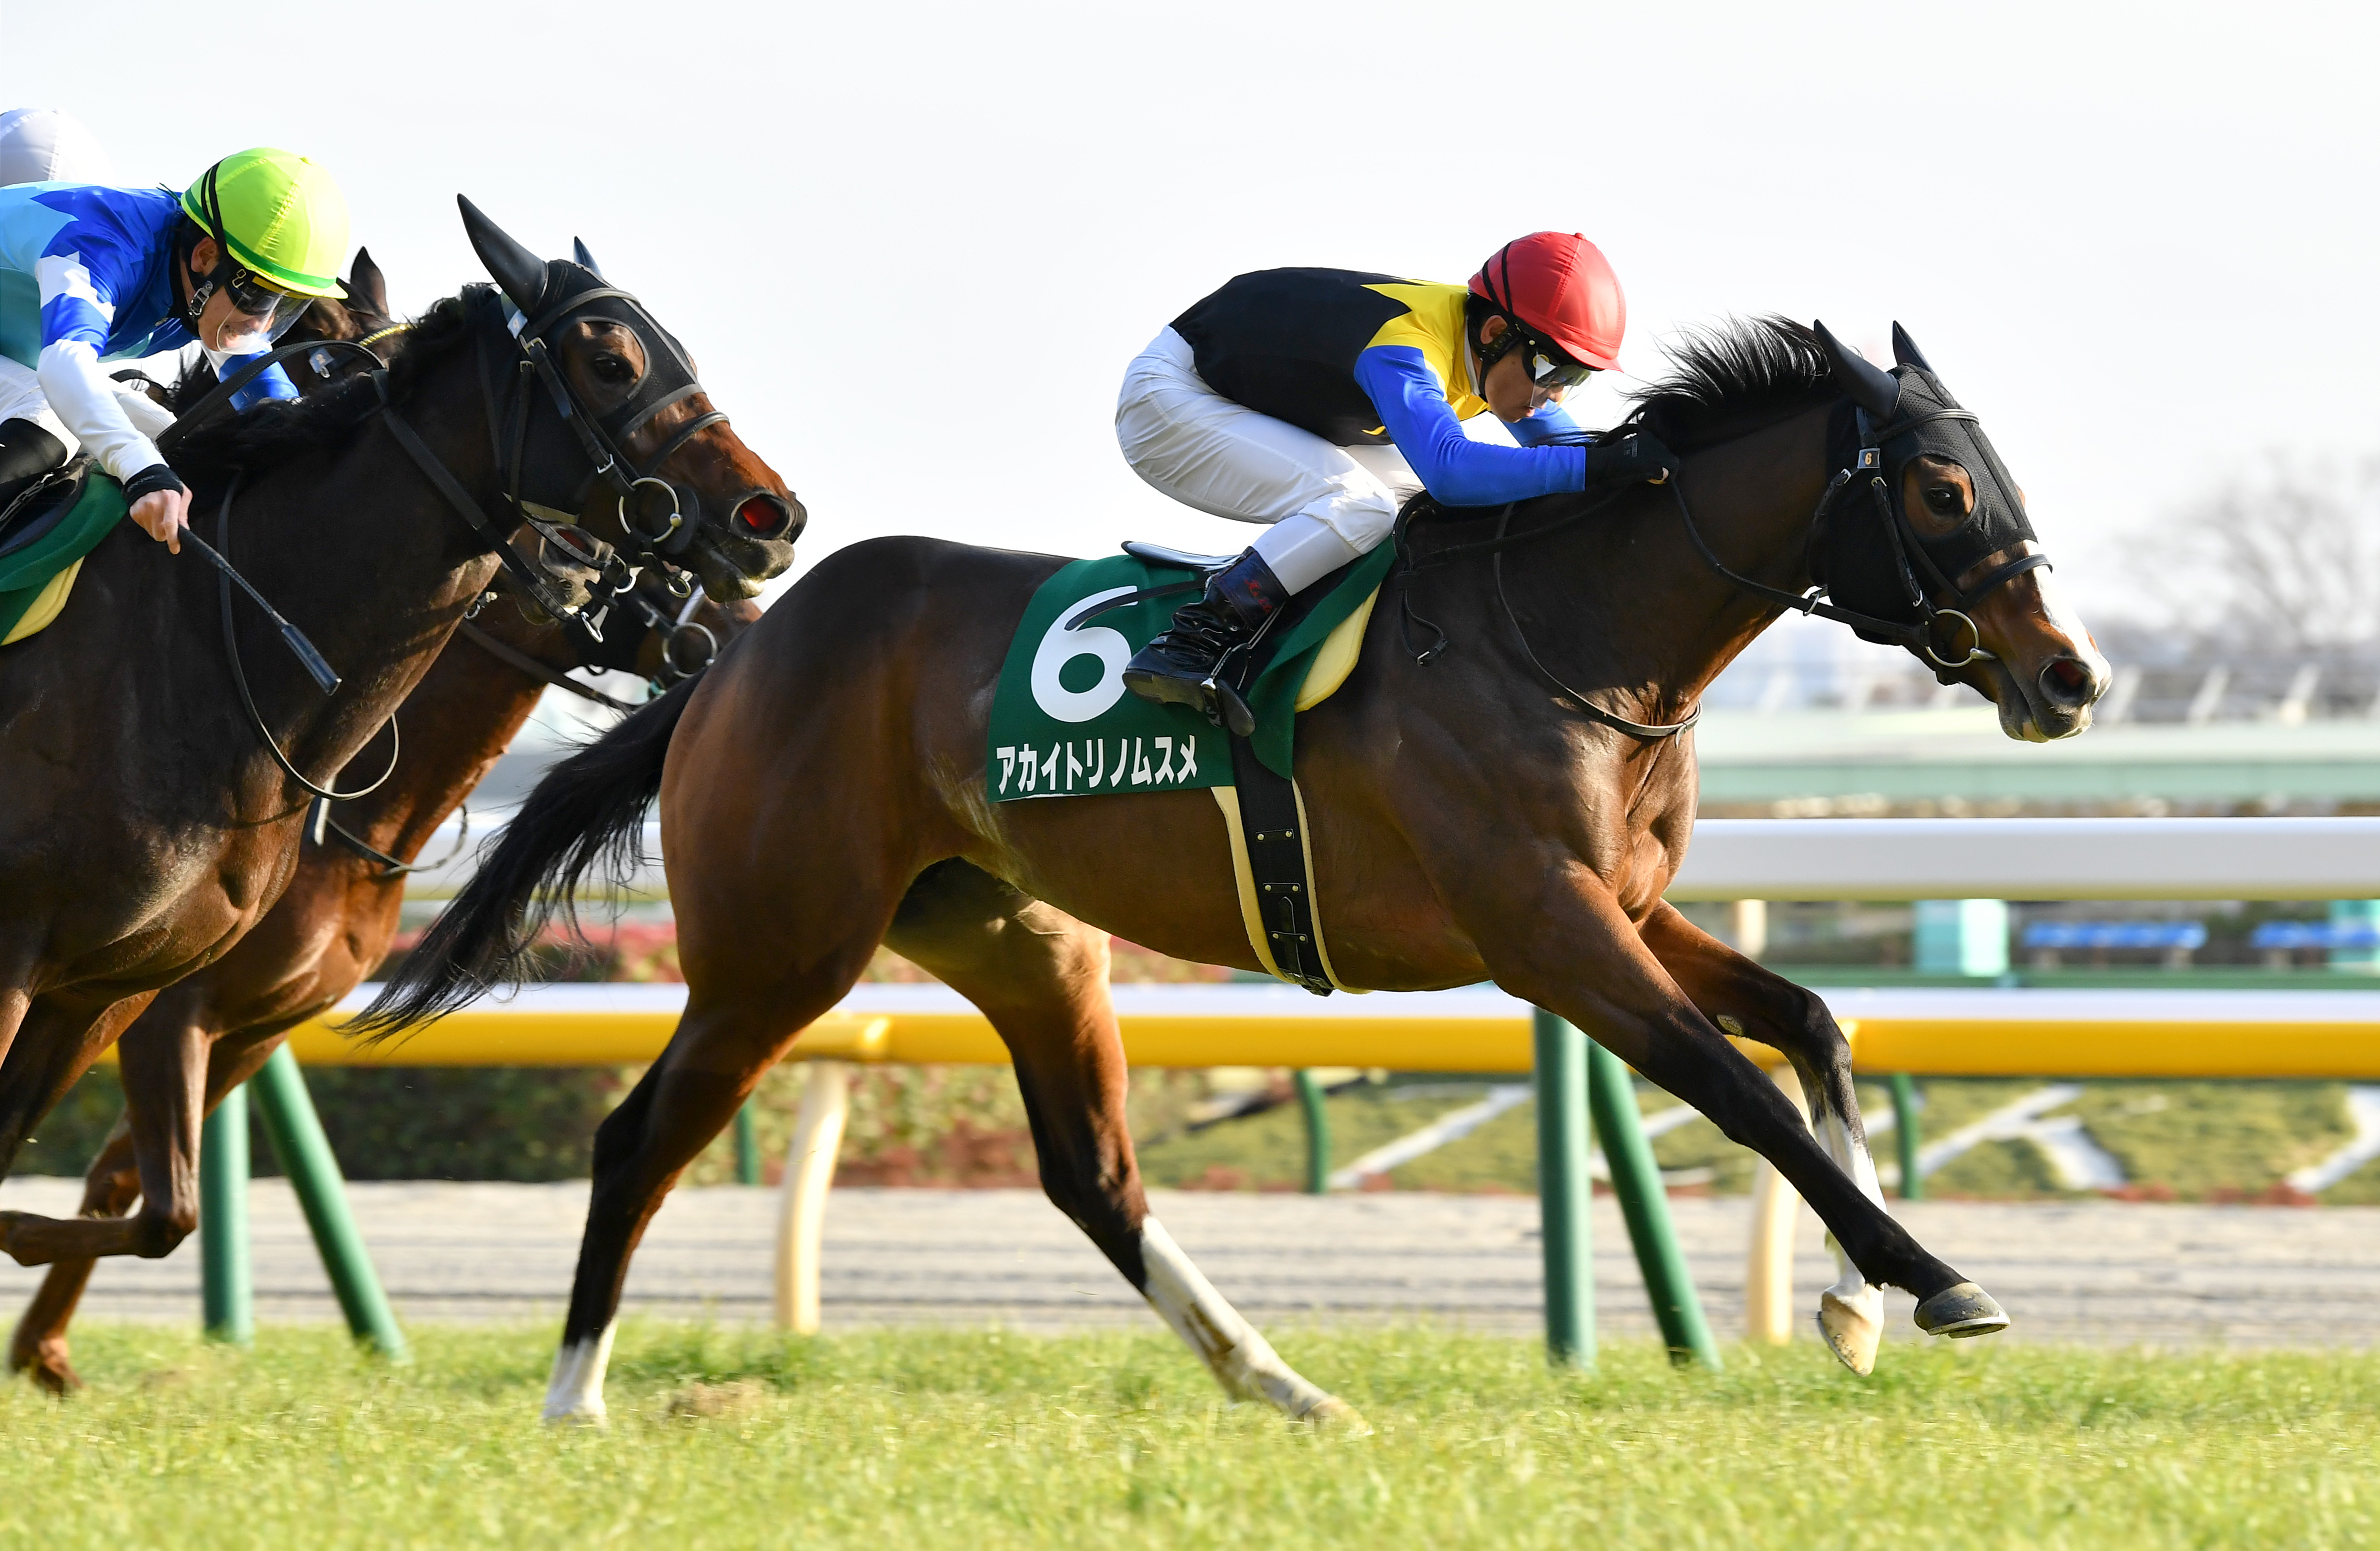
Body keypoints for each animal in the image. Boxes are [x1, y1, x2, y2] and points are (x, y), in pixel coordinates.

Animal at [367, 317, 2110, 1424]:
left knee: (1090, 1172)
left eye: (2007, 477)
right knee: (636, 1136)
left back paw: (1279, 1381)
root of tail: (736, 658)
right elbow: (1738, 1087)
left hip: (1015, 937)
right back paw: (574, 1394)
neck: (1570, 631)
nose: (2067, 676)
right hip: (779, 949)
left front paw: (1850, 1305)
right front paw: (1930, 1277)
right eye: (1943, 488)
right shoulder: (1542, 926)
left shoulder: (1622, 904)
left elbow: (1810, 1024)